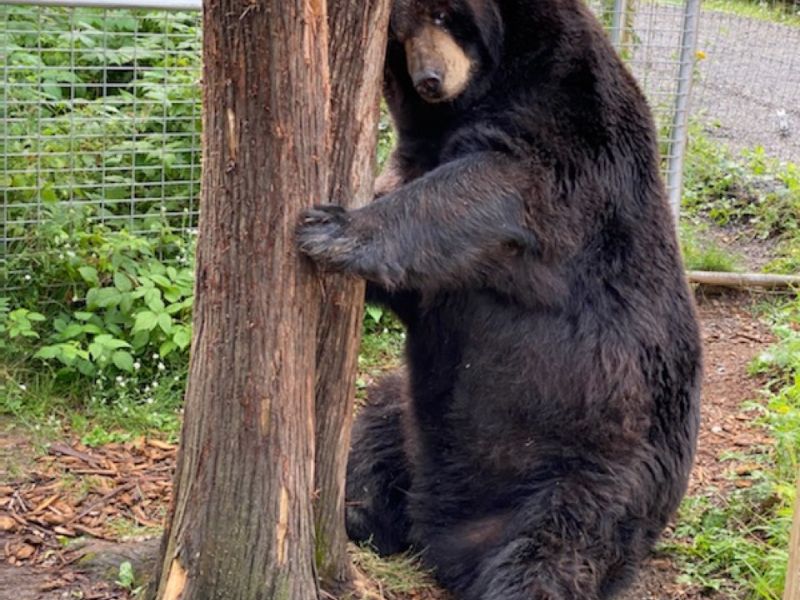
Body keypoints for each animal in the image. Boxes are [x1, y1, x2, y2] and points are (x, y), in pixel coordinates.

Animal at [297, 0, 702, 598]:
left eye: (445, 16)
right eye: (398, 34)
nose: (430, 79)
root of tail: (448, 539)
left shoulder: (571, 130)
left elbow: (491, 185)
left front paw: (333, 227)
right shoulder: (427, 144)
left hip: (597, 468)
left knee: (557, 546)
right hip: (411, 420)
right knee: (377, 429)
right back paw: (361, 512)